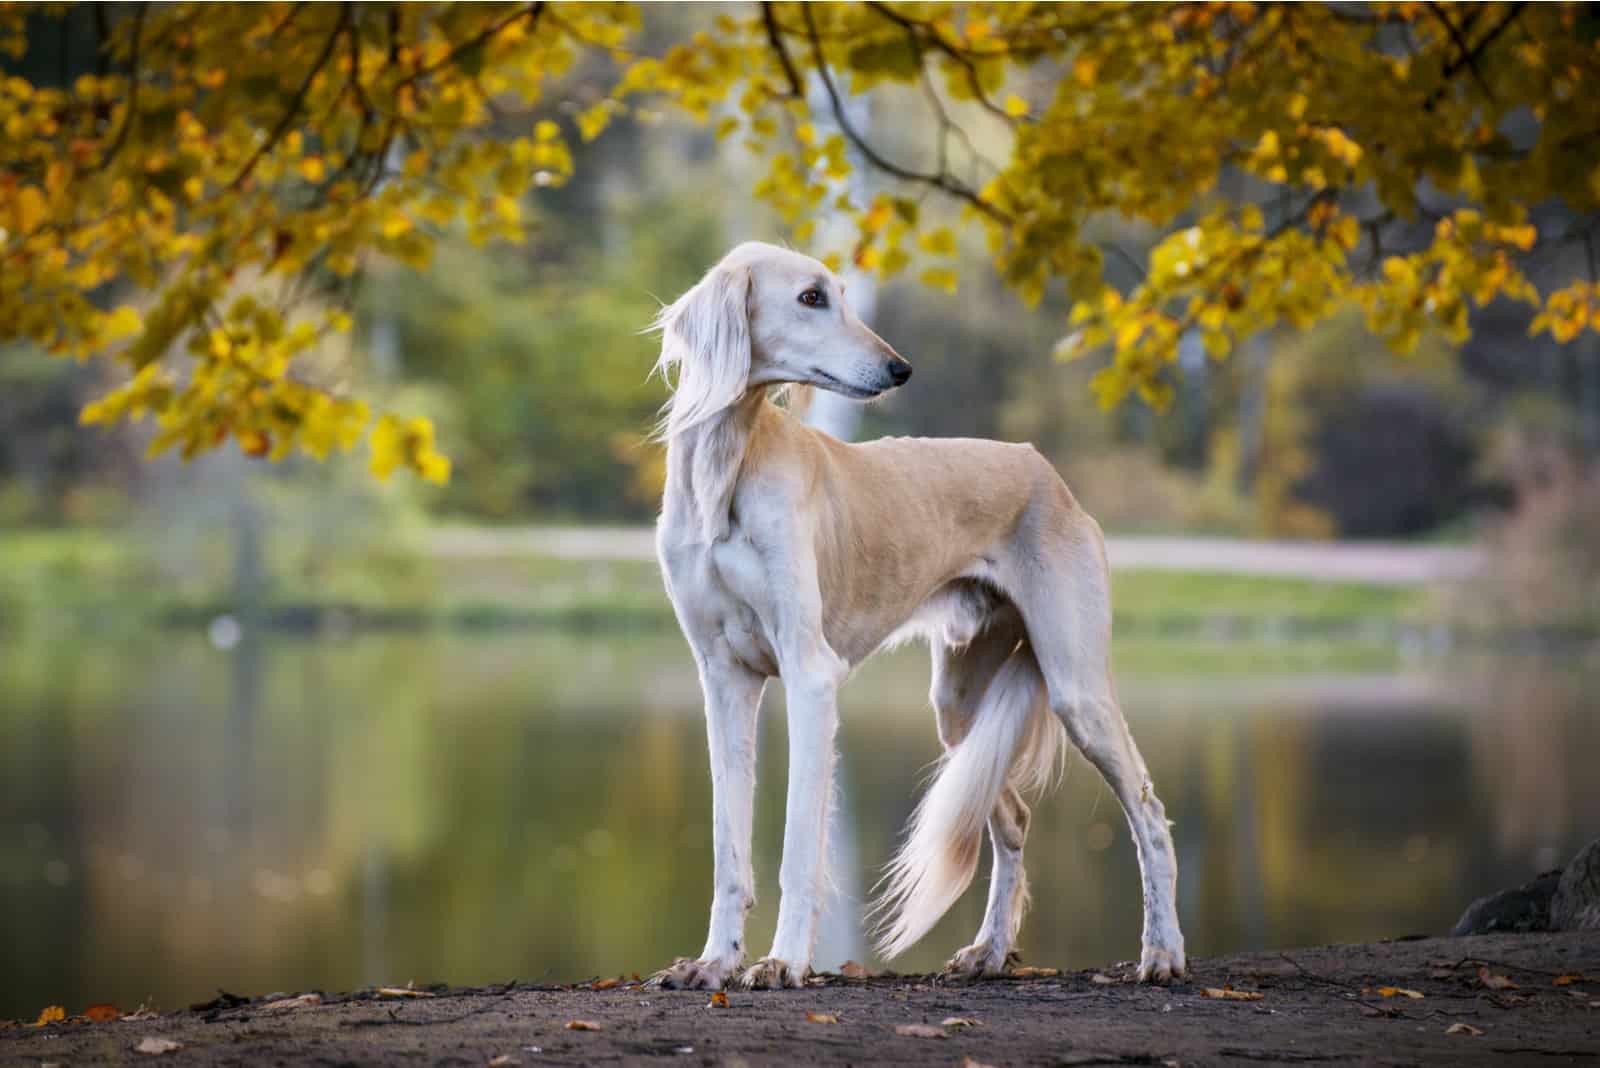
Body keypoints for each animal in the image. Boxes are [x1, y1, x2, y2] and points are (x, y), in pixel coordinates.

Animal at [643, 241, 1184, 991]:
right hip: (958, 704)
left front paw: (783, 962)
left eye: (840, 294)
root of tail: (1044, 469)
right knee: (1012, 818)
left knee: (1150, 814)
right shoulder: (724, 680)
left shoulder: (810, 675)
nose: (899, 369)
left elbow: (798, 847)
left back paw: (1163, 951)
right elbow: (729, 847)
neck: (727, 466)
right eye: (811, 297)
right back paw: (989, 950)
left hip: (1077, 686)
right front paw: (714, 961)